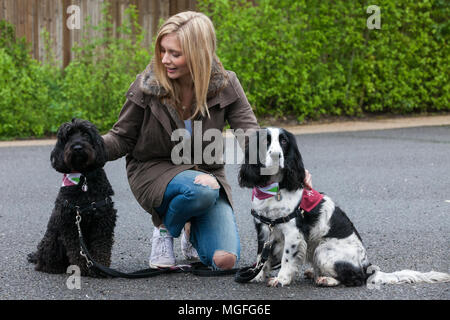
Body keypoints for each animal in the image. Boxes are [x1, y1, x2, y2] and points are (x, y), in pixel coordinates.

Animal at [27, 119, 117, 276]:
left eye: (86, 134)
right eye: (68, 136)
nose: (77, 147)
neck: (83, 178)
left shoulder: (103, 219)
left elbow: (101, 246)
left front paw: (100, 267)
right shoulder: (70, 222)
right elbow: (76, 250)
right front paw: (81, 268)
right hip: (52, 239)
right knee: (44, 262)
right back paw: (54, 267)